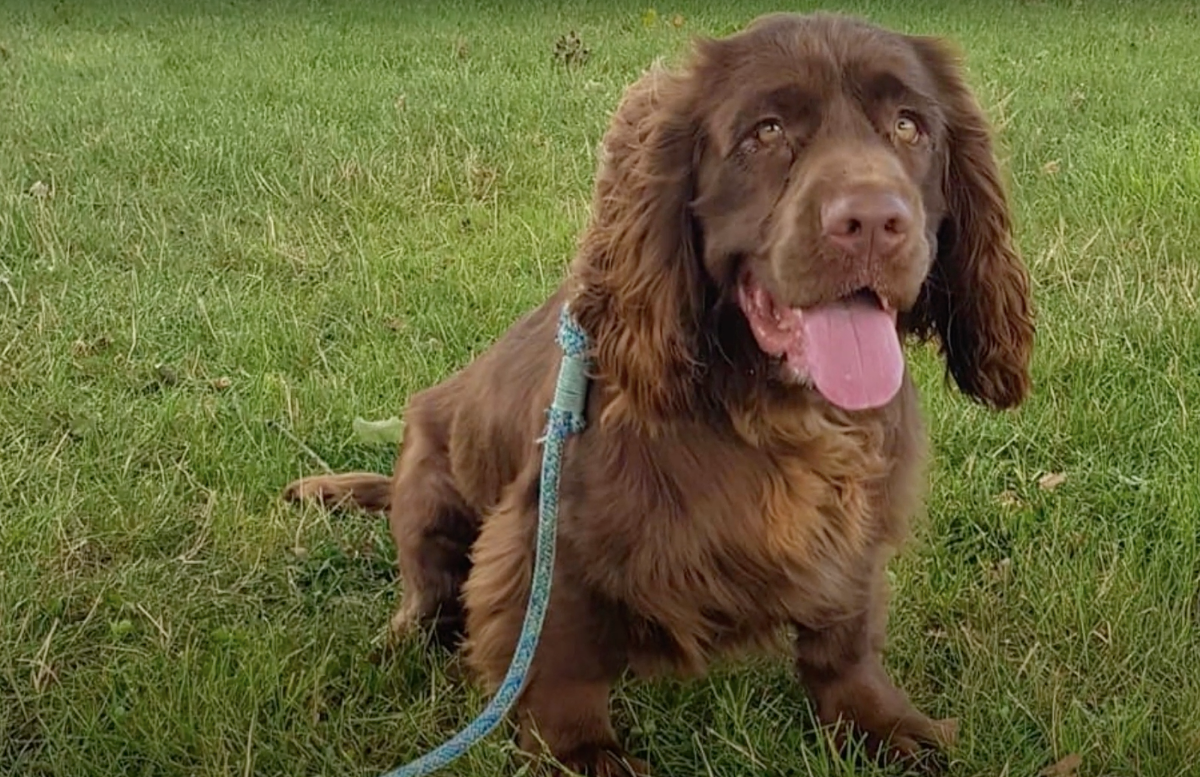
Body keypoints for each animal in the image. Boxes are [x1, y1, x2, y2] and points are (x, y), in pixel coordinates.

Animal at [280, 10, 1032, 772]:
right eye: (766, 132)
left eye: (909, 126)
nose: (875, 222)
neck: (776, 407)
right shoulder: (545, 532)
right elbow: (558, 657)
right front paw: (582, 753)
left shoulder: (856, 525)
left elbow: (844, 637)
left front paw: (882, 722)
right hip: (430, 481)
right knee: (428, 590)